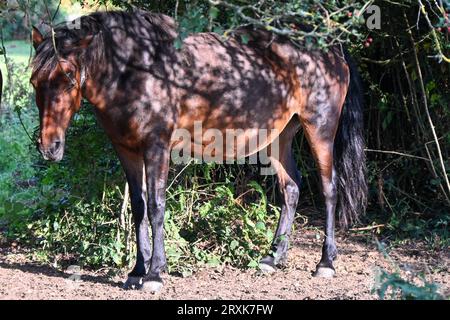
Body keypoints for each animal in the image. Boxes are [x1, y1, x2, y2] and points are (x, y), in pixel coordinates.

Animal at [29, 10, 368, 292]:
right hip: (279, 136)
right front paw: (137, 271)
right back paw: (272, 258)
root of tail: (330, 47)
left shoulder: (156, 146)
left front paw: (155, 274)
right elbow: (139, 207)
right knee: (291, 188)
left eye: (69, 77)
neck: (136, 69)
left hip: (319, 128)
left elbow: (156, 206)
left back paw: (325, 262)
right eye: (34, 81)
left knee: (328, 189)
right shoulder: (126, 150)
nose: (49, 147)